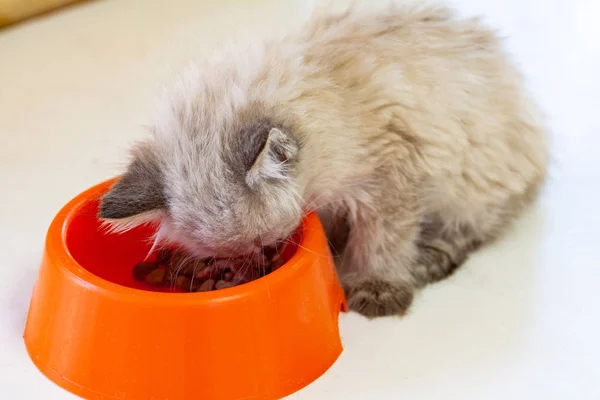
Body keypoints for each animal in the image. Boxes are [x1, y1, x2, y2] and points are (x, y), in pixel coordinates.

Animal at [98, 1, 548, 318]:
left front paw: (372, 288)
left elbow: (381, 245)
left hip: (471, 189)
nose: (264, 255)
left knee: (465, 234)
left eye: (264, 241)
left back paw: (425, 264)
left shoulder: (390, 182)